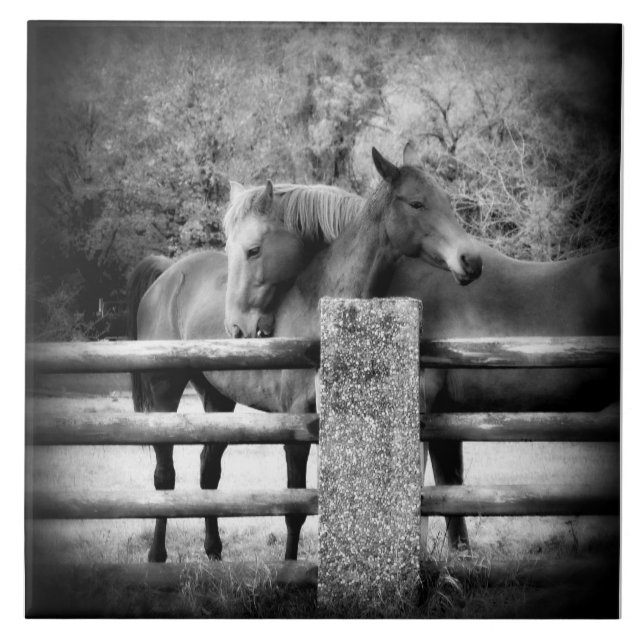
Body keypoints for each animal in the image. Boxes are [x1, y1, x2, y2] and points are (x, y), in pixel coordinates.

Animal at [127, 142, 483, 562]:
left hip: (217, 398)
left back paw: (214, 552)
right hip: (165, 393)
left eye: (445, 200)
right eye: (416, 202)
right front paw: (289, 565)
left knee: (207, 471)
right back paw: (157, 555)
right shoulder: (295, 428)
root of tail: (168, 274)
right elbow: (295, 508)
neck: (320, 307)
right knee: (165, 477)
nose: (471, 260)